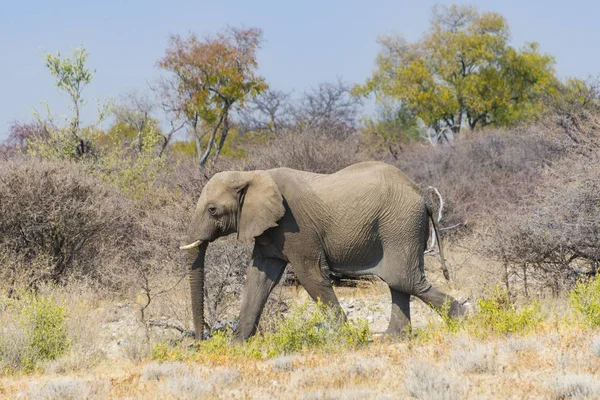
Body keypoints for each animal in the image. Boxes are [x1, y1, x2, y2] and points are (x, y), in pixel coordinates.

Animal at [180, 161, 466, 340]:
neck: (250, 174)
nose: (199, 341)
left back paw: (465, 318)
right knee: (399, 281)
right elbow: (258, 280)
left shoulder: (295, 226)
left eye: (212, 210)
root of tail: (420, 193)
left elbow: (312, 276)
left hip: (400, 224)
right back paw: (392, 338)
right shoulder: (269, 231)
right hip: (398, 226)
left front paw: (348, 339)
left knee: (403, 279)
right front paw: (236, 345)